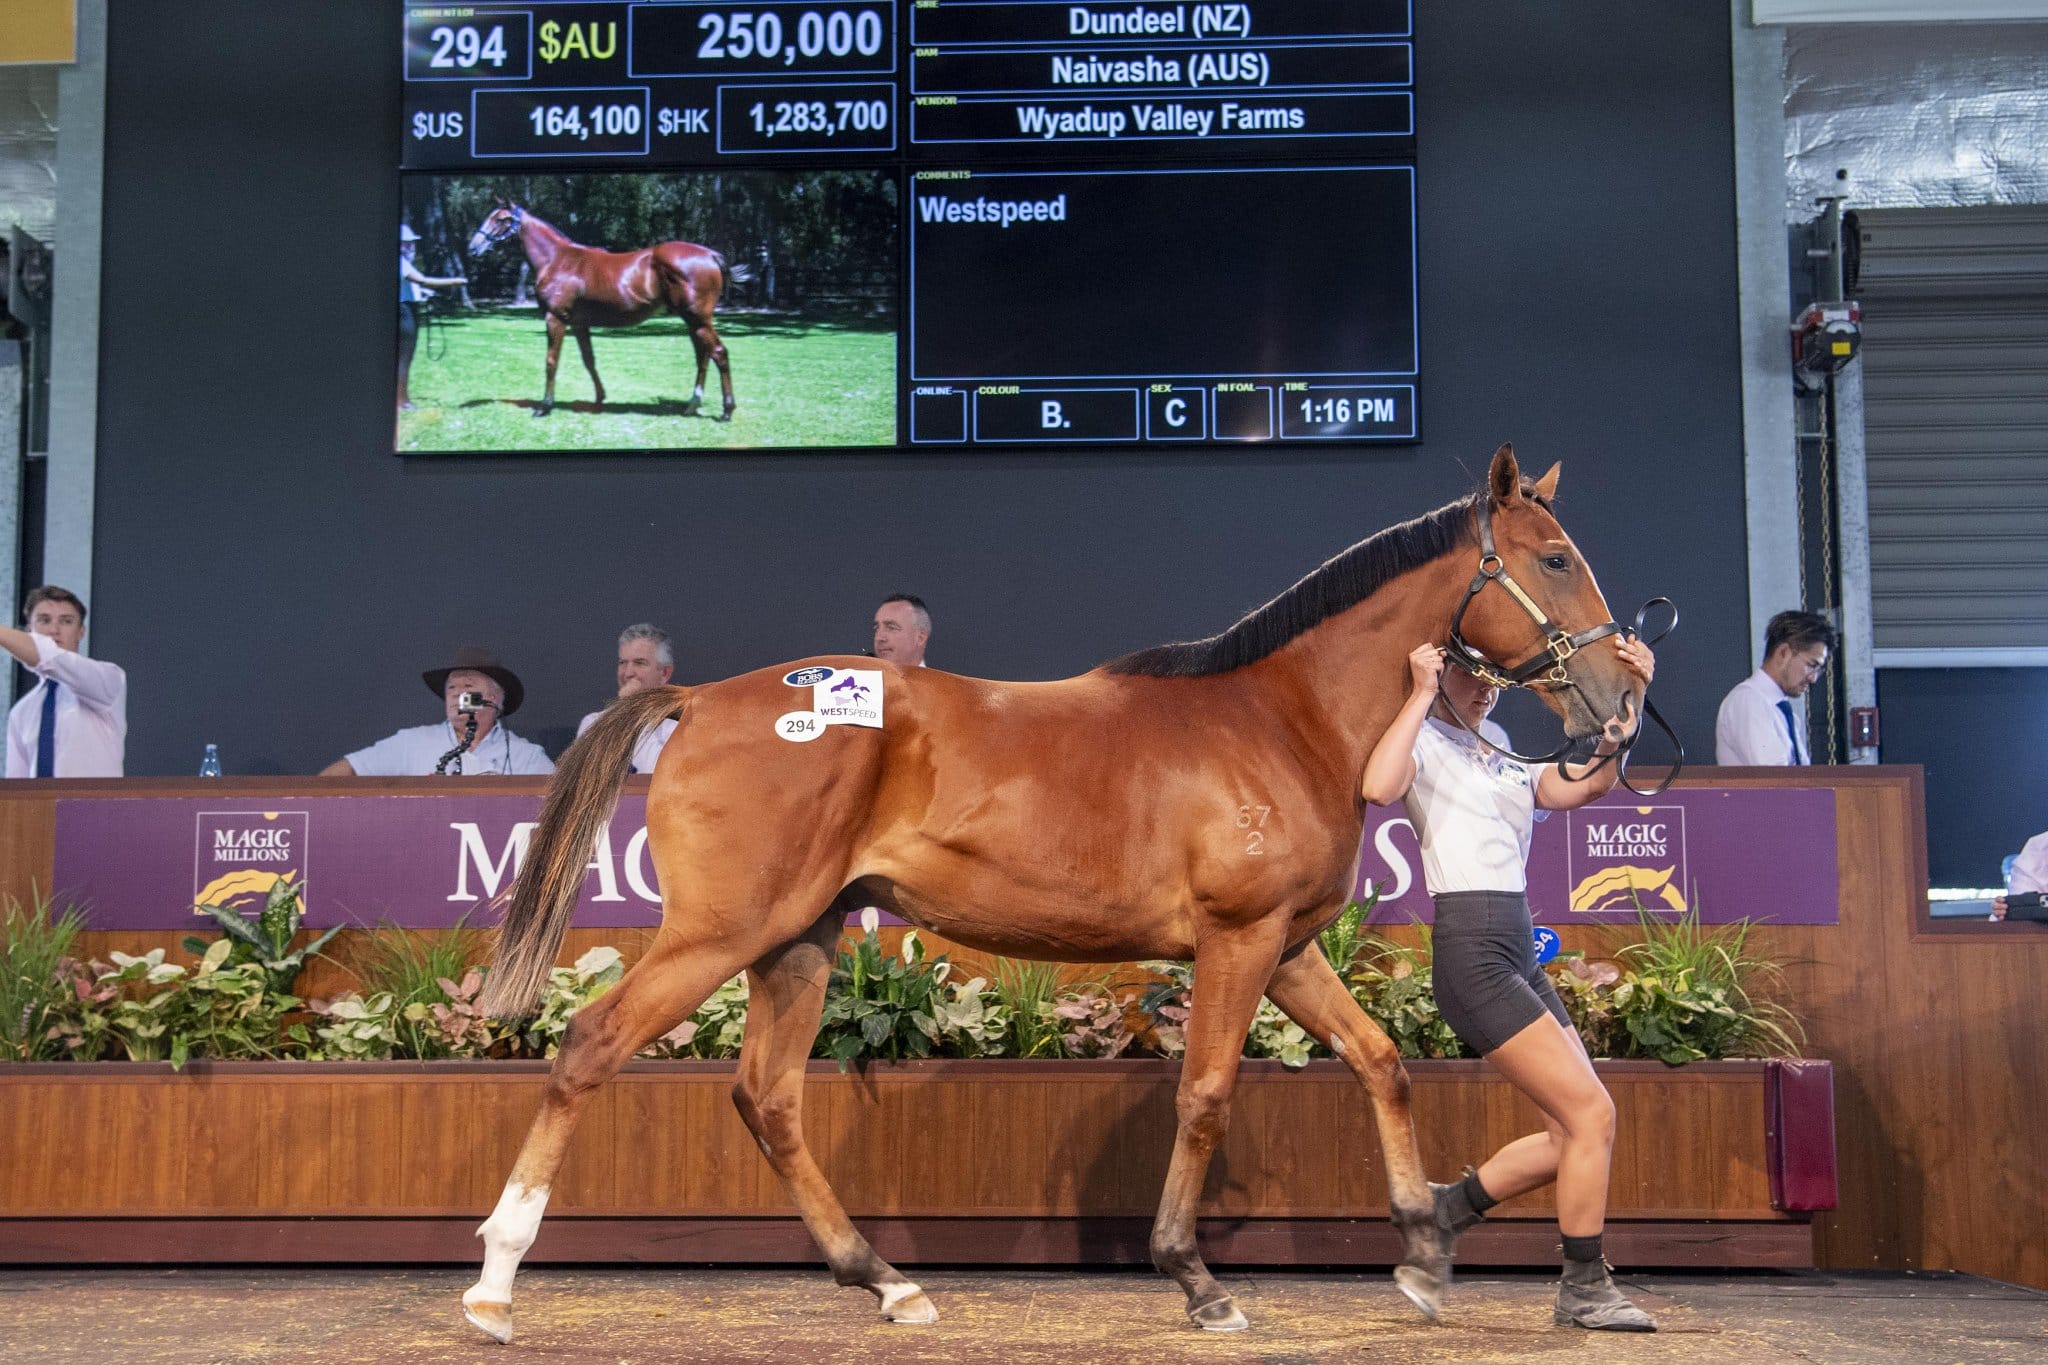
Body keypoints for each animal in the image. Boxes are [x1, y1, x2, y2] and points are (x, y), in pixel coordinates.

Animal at [456, 448, 1638, 1342]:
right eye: (1554, 557)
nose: (1621, 700)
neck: (1278, 716)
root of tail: (697, 699)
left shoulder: (1291, 947)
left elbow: (1381, 1062)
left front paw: (1424, 1246)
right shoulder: (1237, 941)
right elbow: (1206, 1095)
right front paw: (1195, 1279)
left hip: (798, 942)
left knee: (769, 1097)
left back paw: (886, 1279)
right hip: (720, 933)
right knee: (591, 1046)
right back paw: (494, 1284)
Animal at [466, 200, 753, 419]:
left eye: (502, 219)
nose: (473, 248)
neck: (557, 260)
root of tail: (710, 254)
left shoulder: (555, 319)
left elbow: (551, 361)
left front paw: (544, 407)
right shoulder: (579, 323)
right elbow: (589, 360)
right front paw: (599, 398)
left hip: (698, 319)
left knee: (718, 353)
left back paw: (727, 411)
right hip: (693, 320)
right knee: (703, 356)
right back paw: (692, 405)